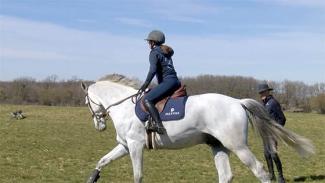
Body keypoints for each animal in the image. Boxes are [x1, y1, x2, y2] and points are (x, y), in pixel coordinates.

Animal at [80, 74, 312, 183]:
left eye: (86, 102)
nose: (99, 125)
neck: (125, 106)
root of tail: (238, 102)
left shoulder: (135, 146)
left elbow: (138, 176)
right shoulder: (125, 145)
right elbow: (102, 161)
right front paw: (92, 178)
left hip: (237, 146)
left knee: (260, 171)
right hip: (218, 145)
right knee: (225, 176)